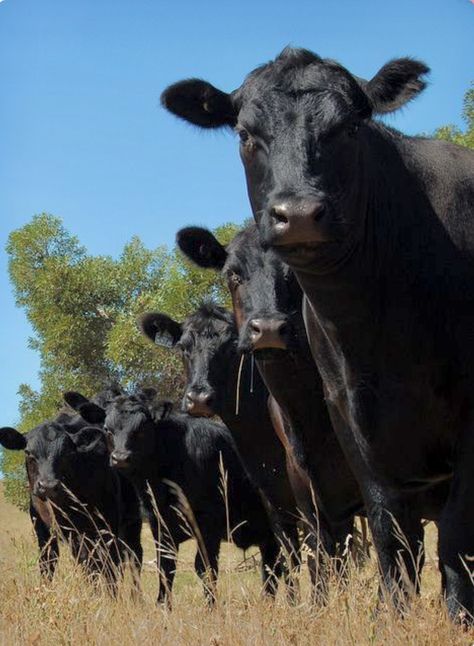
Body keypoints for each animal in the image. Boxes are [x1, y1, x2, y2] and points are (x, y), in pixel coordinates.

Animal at [0, 412, 143, 588]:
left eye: (67, 453)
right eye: (28, 452)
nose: (48, 485)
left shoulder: (107, 526)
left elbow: (108, 568)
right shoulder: (43, 529)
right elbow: (48, 563)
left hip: (130, 520)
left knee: (132, 557)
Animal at [65, 390, 284, 608]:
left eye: (142, 429)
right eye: (107, 429)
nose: (120, 458)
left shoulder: (208, 523)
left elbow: (206, 567)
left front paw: (211, 607)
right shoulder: (159, 523)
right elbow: (165, 565)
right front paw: (163, 605)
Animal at [161, 48, 472, 620]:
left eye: (349, 127)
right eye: (244, 133)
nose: (299, 214)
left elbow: (452, 547)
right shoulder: (326, 470)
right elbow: (365, 552)